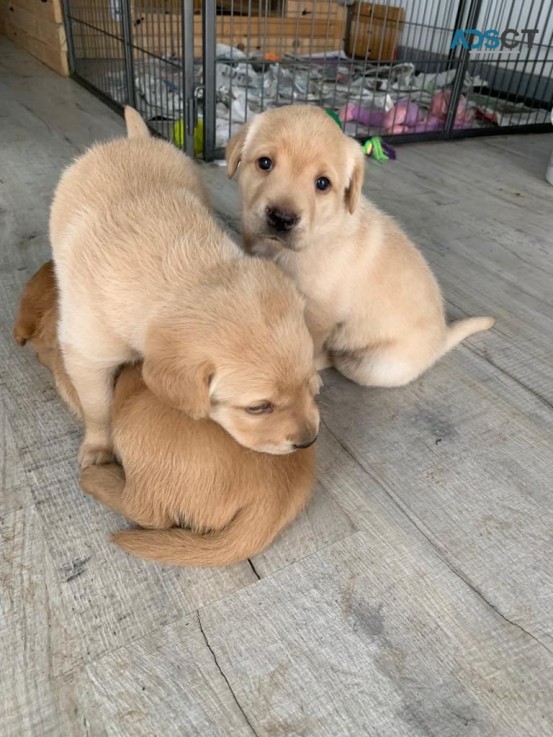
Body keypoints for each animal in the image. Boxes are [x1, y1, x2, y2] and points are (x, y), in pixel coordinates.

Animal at [51, 106, 320, 466]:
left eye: (305, 381)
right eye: (258, 407)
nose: (308, 440)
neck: (185, 271)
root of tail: (134, 140)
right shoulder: (86, 352)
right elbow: (97, 406)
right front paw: (98, 445)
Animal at [226, 107, 494, 392]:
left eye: (322, 183)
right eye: (265, 163)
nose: (281, 218)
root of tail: (442, 339)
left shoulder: (318, 314)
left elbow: (308, 345)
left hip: (372, 367)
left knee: (338, 359)